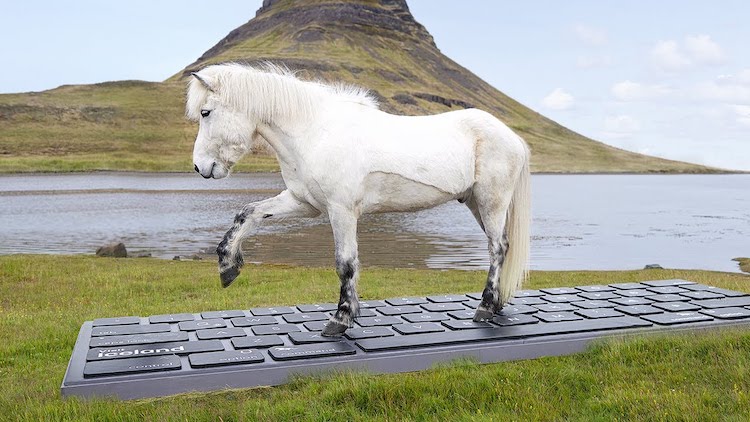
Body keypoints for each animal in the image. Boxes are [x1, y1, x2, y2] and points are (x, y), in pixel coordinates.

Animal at [185, 63, 532, 336]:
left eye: (205, 112)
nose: (200, 167)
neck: (314, 132)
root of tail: (512, 136)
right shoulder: (303, 203)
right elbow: (248, 213)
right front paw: (227, 266)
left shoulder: (341, 211)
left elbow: (345, 263)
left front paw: (341, 318)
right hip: (475, 203)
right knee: (501, 245)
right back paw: (496, 304)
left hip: (491, 202)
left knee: (497, 248)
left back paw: (485, 307)